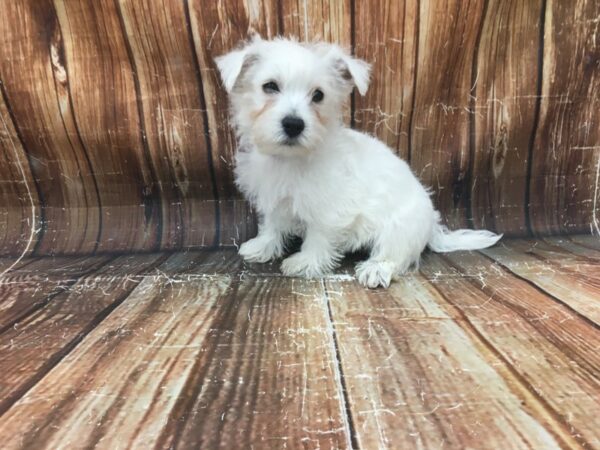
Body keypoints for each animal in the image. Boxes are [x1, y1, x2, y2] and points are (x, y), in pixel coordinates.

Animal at [216, 36, 502, 288]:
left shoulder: (329, 208)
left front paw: (305, 262)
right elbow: (272, 224)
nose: (294, 124)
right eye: (270, 86)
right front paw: (261, 246)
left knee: (395, 254)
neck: (291, 159)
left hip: (399, 228)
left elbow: (319, 235)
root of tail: (432, 225)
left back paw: (376, 269)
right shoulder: (272, 196)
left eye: (318, 95)